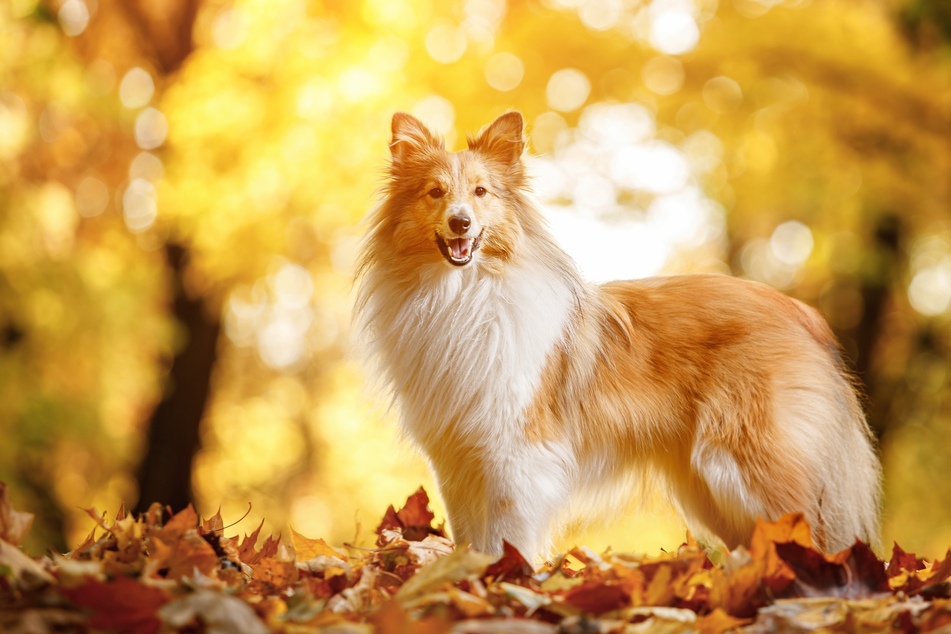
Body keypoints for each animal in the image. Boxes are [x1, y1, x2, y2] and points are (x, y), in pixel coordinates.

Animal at [354, 111, 880, 560]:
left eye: (481, 192)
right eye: (434, 192)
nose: (460, 222)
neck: (463, 295)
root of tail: (800, 312)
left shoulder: (517, 453)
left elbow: (507, 536)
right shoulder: (456, 458)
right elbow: (471, 537)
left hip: (744, 462)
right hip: (707, 487)